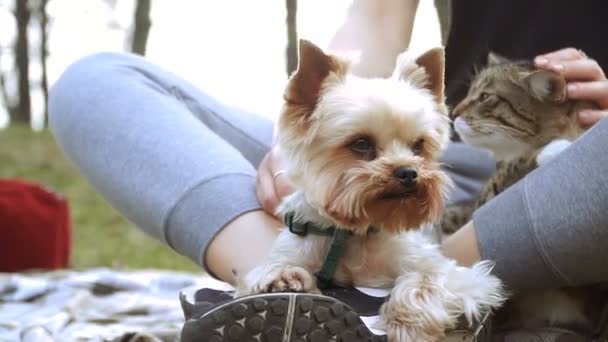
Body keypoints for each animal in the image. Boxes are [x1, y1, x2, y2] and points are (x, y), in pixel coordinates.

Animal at [235, 41, 506, 340]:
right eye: (361, 143)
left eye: (418, 145)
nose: (409, 172)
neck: (352, 232)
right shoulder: (291, 249)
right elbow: (275, 268)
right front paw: (283, 279)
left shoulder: (459, 275)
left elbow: (423, 279)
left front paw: (407, 325)